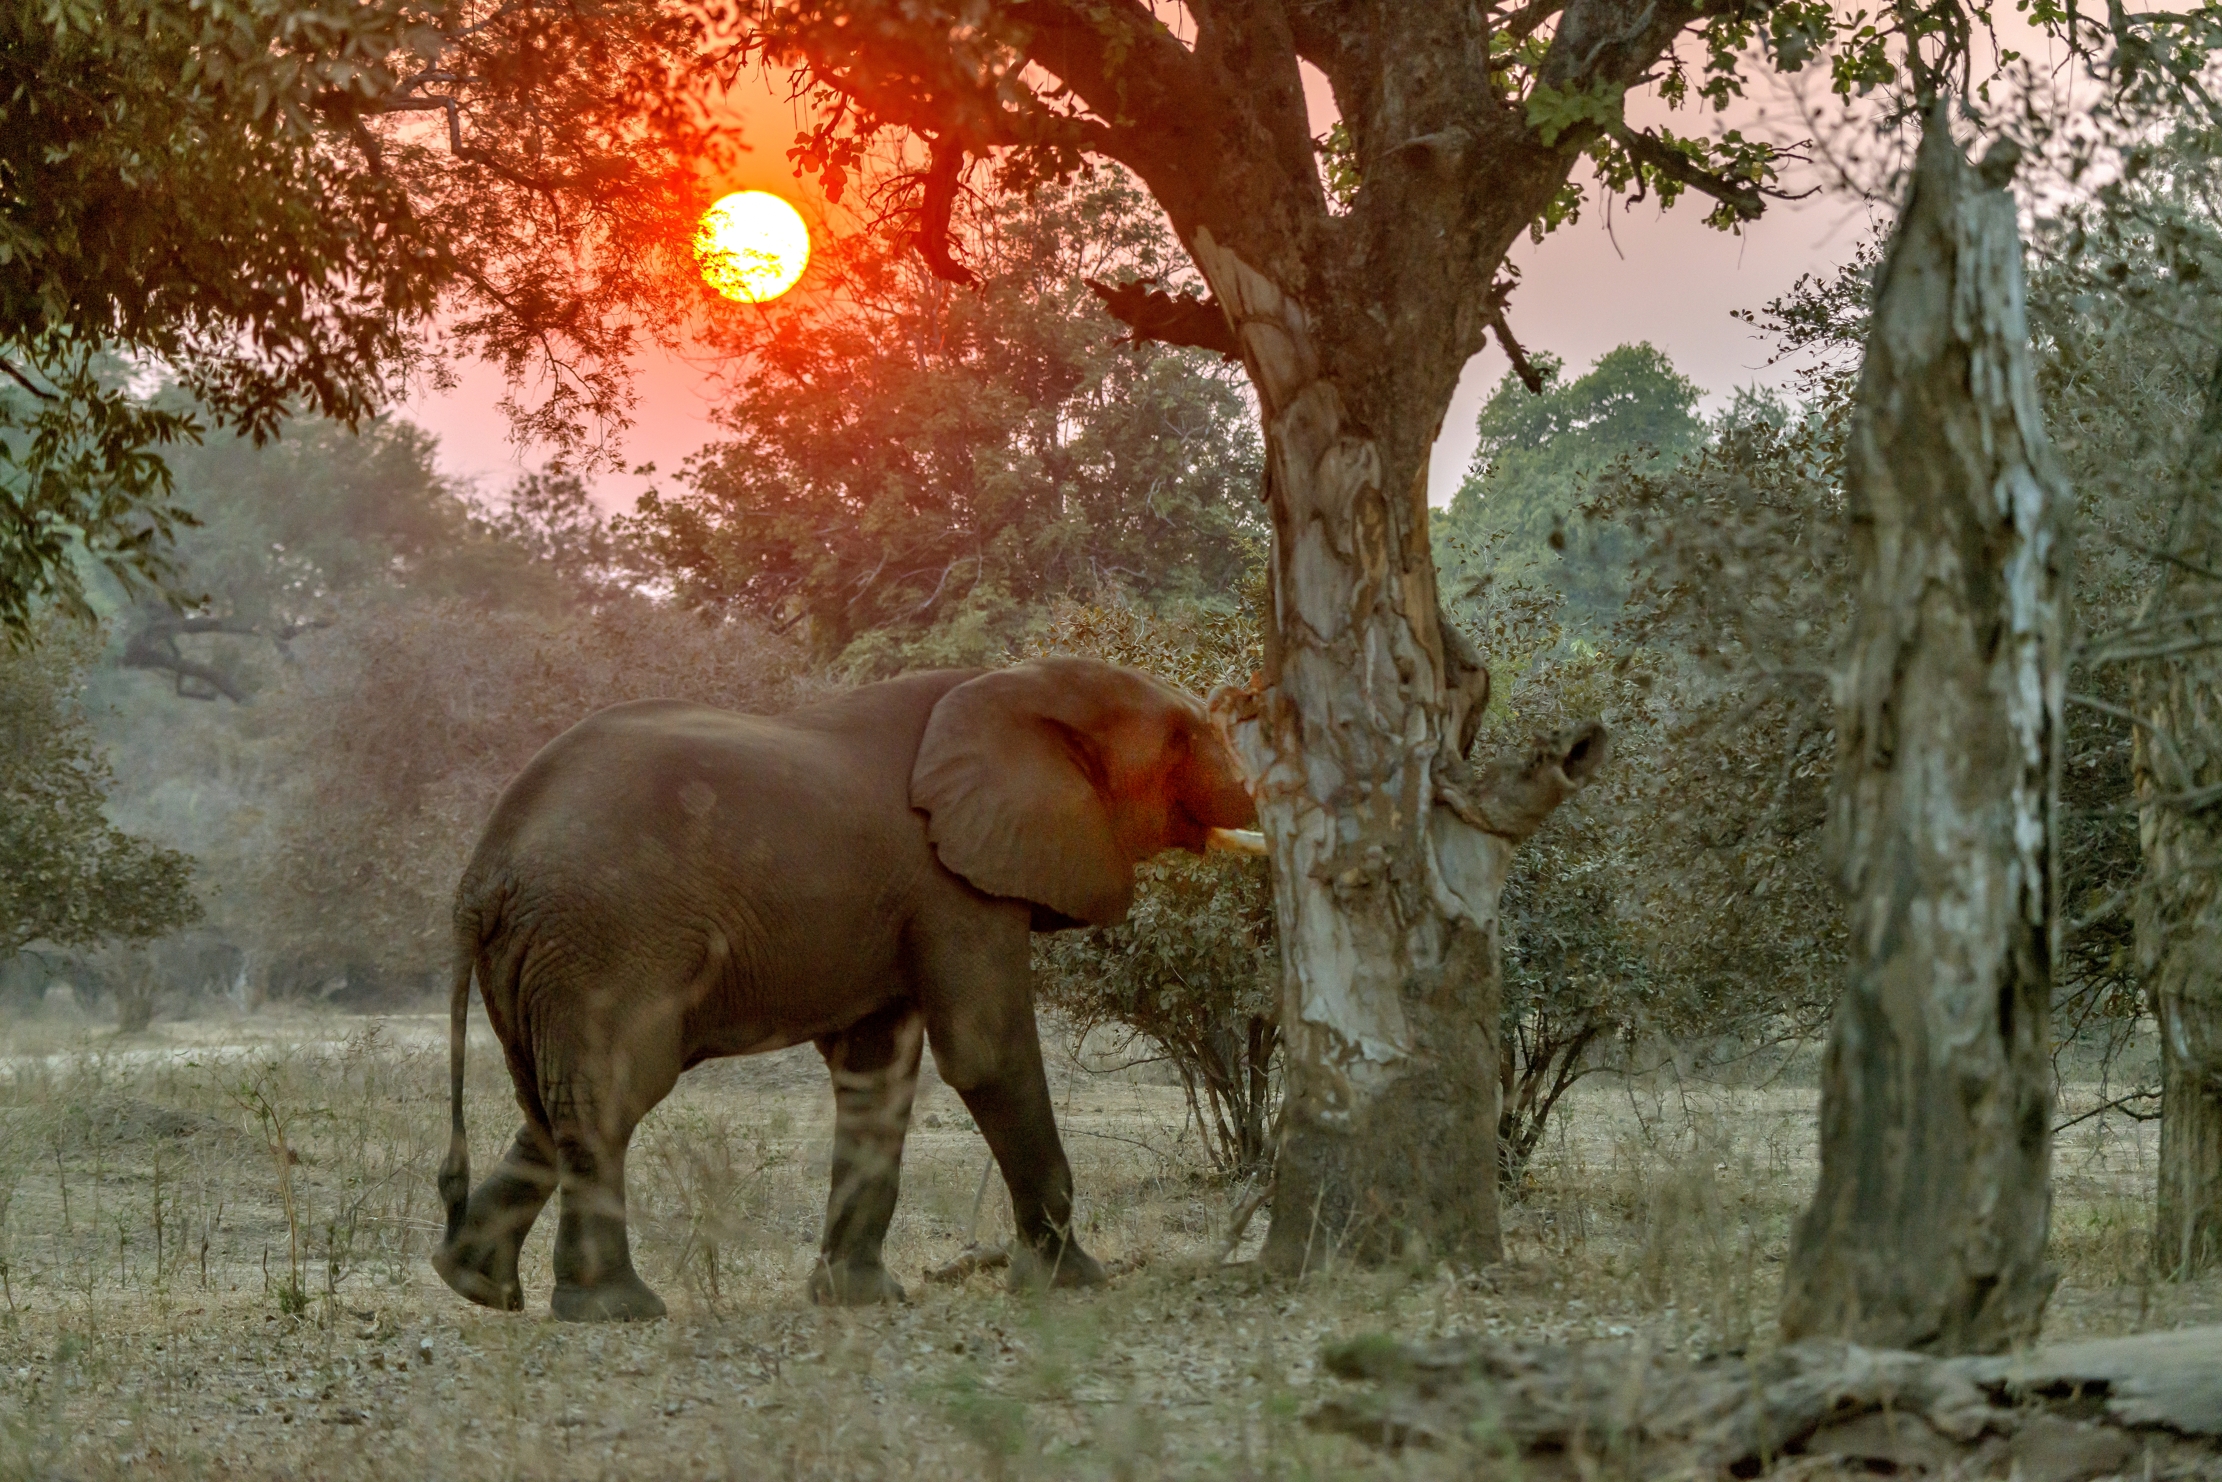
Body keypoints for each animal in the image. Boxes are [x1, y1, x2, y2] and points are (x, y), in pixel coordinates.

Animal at [431, 656, 1259, 1321]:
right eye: (1183, 739)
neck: (1014, 682)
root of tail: (482, 872)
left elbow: (877, 1073)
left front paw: (856, 1301)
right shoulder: (950, 882)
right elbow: (984, 1053)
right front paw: (1077, 1283)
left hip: (545, 959)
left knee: (550, 1104)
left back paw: (473, 1284)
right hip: (605, 941)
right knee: (610, 1096)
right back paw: (616, 1310)